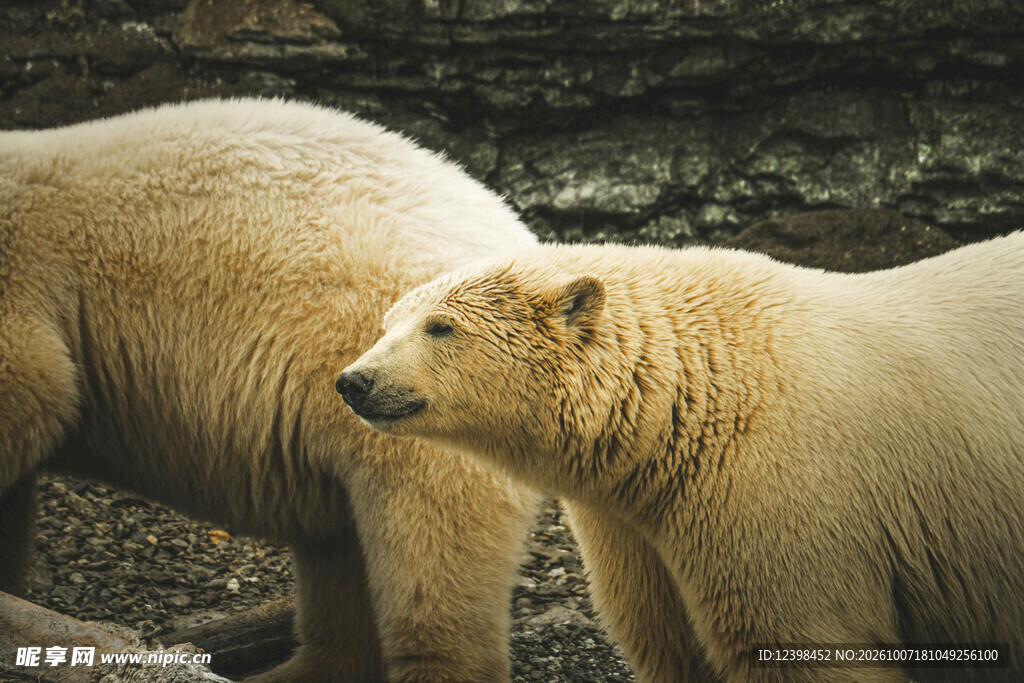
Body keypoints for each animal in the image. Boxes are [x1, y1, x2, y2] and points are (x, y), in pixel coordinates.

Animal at [338, 236, 1024, 682]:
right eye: (388, 321)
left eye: (440, 327)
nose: (354, 381)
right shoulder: (637, 527)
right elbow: (668, 641)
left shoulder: (781, 494)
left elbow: (800, 641)